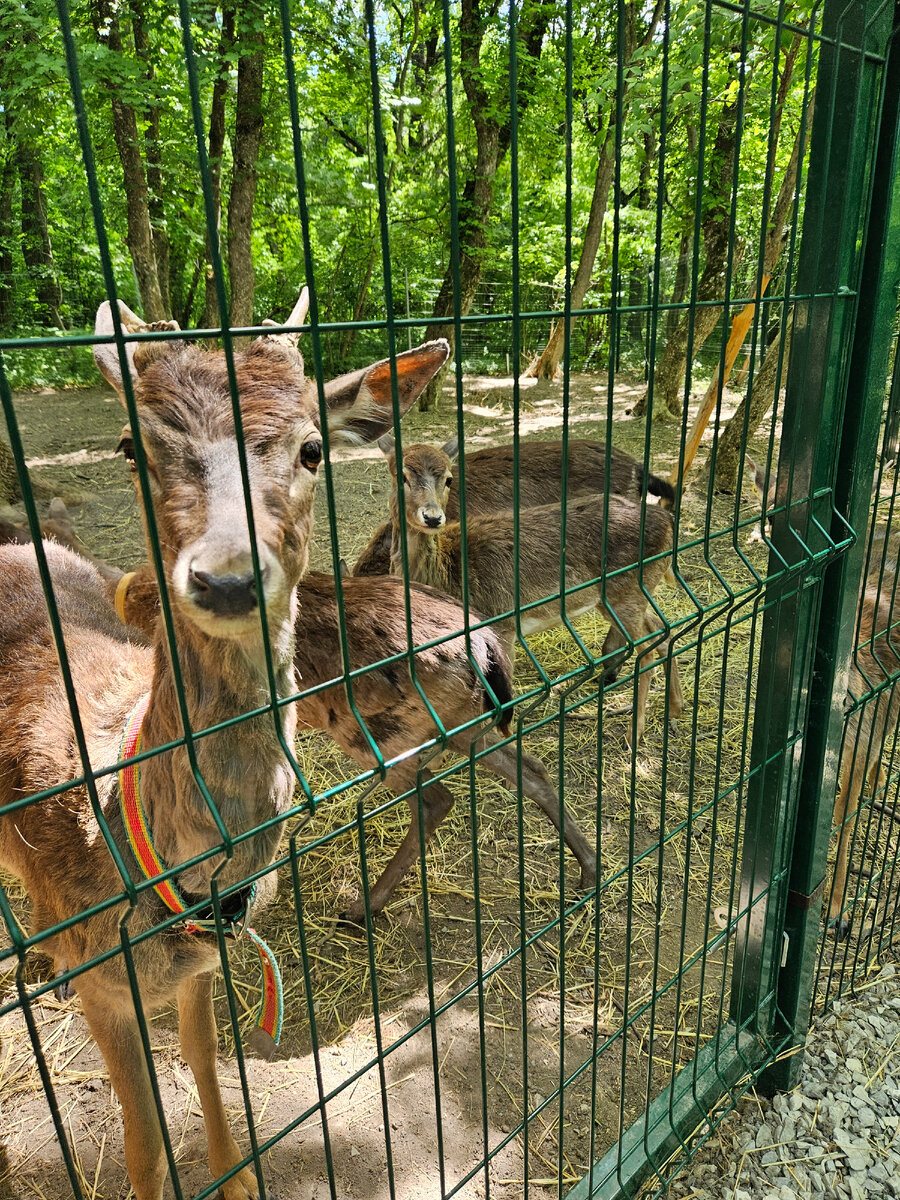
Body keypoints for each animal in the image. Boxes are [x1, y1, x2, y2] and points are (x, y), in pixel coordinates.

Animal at [0, 292, 451, 1200]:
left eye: (313, 447)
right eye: (132, 445)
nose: (228, 577)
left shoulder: (200, 971)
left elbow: (207, 1065)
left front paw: (236, 1180)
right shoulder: (106, 989)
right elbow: (142, 1148)